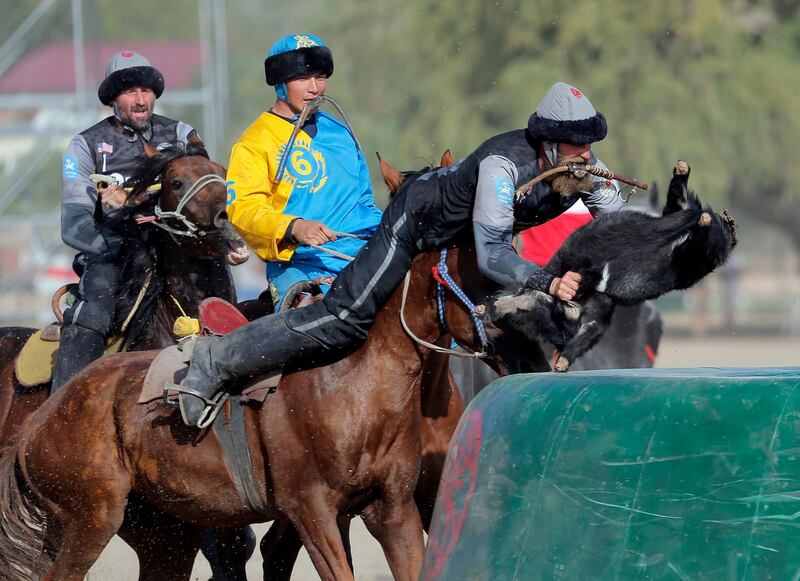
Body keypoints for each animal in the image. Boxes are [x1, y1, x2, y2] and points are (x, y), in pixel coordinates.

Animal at [0, 225, 544, 576]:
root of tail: (38, 424)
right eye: (489, 281)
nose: (542, 351)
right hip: (90, 518)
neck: (351, 387)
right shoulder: (312, 513)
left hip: (164, 536)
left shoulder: (393, 510)